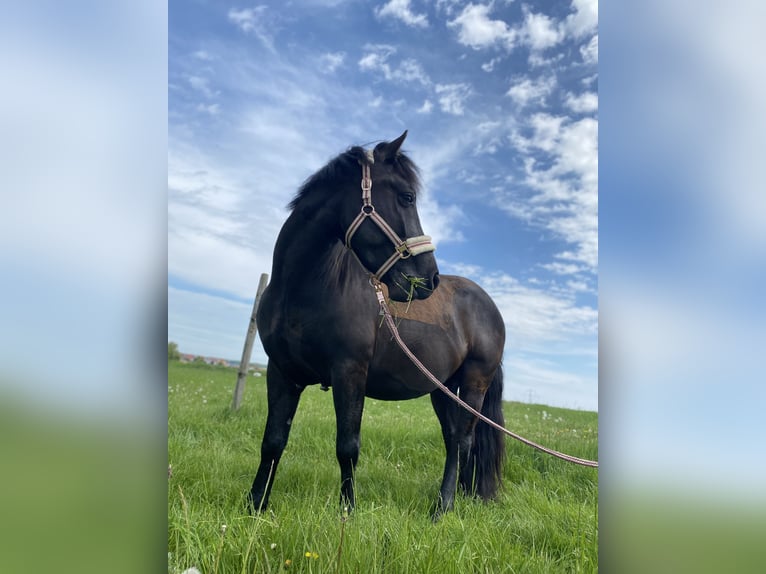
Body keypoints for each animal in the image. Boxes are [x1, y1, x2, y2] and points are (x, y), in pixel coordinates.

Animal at [249, 133, 508, 520]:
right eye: (407, 196)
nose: (429, 278)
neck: (302, 289)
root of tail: (490, 307)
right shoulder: (281, 372)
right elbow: (273, 441)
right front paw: (255, 506)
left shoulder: (349, 372)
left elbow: (347, 447)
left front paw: (348, 512)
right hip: (443, 387)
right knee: (453, 440)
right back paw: (455, 496)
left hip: (476, 382)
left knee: (463, 440)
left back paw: (443, 507)